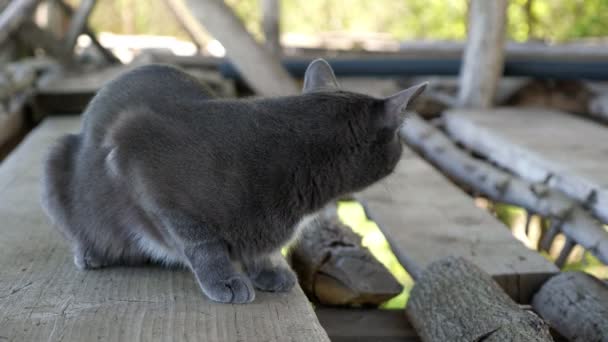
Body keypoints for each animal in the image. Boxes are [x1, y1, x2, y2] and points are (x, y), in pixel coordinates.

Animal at [40, 58, 428, 302]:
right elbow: (200, 241)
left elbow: (263, 249)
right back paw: (91, 252)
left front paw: (268, 269)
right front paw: (224, 279)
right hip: (55, 160)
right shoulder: (139, 163)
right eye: (398, 140)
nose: (402, 151)